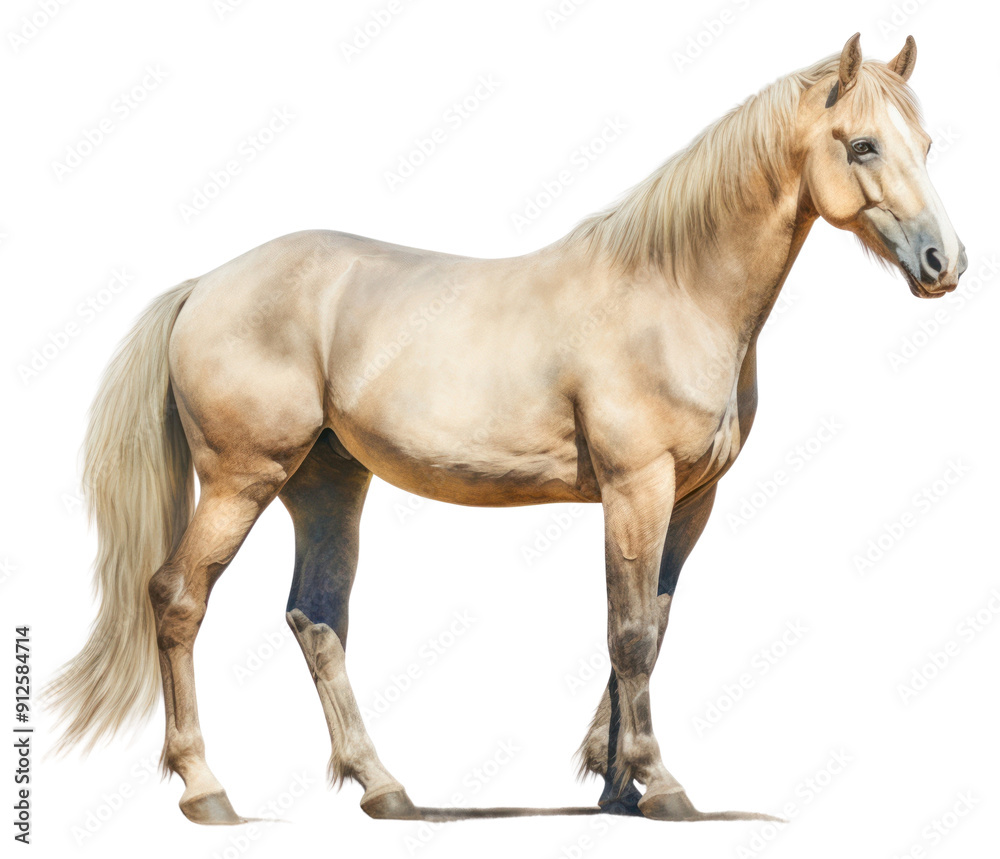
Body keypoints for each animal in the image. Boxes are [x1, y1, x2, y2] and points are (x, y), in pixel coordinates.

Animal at [45, 33, 966, 824]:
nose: (945, 263)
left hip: (327, 482)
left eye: (925, 142)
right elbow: (630, 630)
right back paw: (208, 789)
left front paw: (614, 780)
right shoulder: (637, 486)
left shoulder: (690, 499)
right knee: (178, 597)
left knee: (317, 619)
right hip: (244, 477)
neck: (673, 290)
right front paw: (660, 785)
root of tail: (205, 284)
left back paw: (384, 787)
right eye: (862, 145)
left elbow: (650, 625)